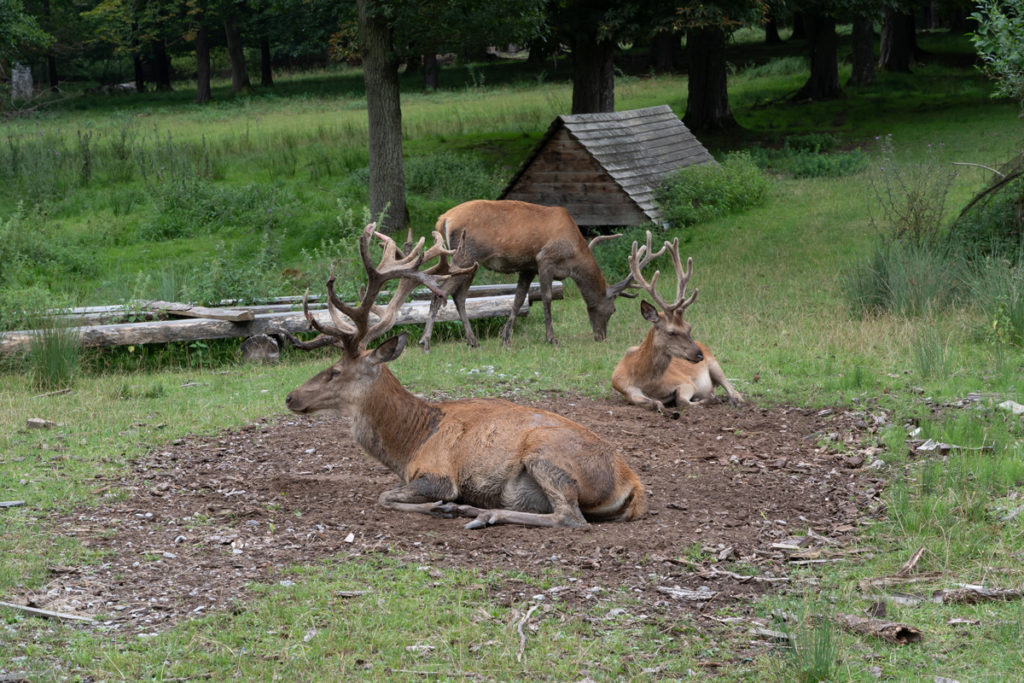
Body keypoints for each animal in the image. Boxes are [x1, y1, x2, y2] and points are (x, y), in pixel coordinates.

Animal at [282, 223, 648, 529]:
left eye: (335, 371)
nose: (289, 396)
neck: (410, 444)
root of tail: (631, 483)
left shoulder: (438, 474)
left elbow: (386, 496)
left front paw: (441, 507)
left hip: (548, 456)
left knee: (570, 517)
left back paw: (483, 513)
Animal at [435, 199, 639, 346]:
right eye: (613, 310)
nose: (601, 336)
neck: (573, 255)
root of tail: (444, 219)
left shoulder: (528, 267)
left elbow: (518, 300)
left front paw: (505, 338)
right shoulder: (545, 259)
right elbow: (546, 297)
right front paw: (551, 338)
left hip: (469, 262)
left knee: (458, 295)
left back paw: (472, 341)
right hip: (467, 256)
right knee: (443, 291)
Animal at [611, 236, 743, 416]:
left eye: (689, 327)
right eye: (671, 332)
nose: (699, 355)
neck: (646, 384)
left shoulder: (686, 381)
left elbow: (681, 400)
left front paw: (710, 400)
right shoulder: (626, 390)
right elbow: (656, 403)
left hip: (715, 363)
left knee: (734, 391)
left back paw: (730, 399)